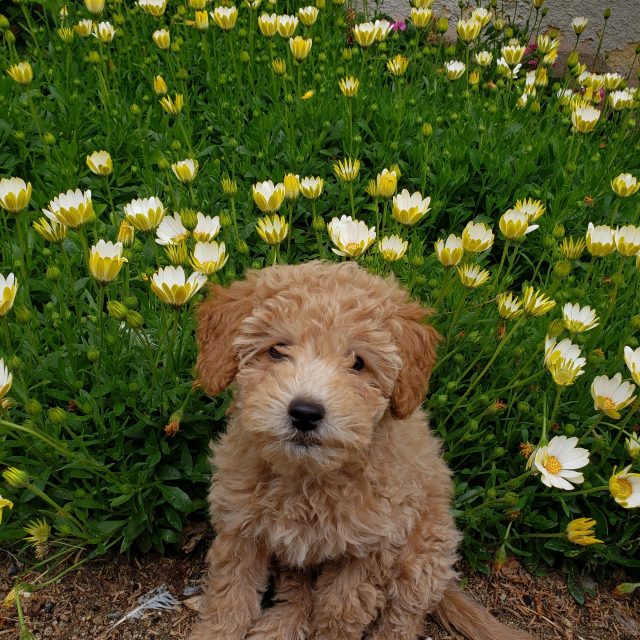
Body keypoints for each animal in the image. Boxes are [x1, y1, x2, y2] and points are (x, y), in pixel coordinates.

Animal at [191, 262, 536, 640]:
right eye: (277, 350)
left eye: (358, 363)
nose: (305, 413)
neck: (308, 477)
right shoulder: (240, 526)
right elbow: (230, 596)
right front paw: (215, 632)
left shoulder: (371, 548)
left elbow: (340, 612)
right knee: (297, 593)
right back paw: (279, 625)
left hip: (424, 555)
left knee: (403, 617)